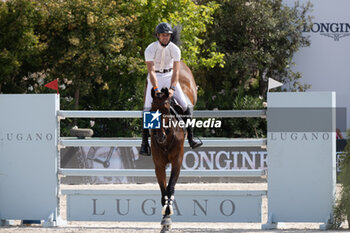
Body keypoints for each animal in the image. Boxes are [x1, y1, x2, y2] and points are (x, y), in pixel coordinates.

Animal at [146, 61, 198, 231]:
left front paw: (168, 216)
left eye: (167, 109)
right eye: (152, 110)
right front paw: (165, 218)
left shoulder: (177, 161)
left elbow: (170, 187)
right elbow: (163, 190)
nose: (160, 136)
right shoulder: (159, 165)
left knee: (188, 106)